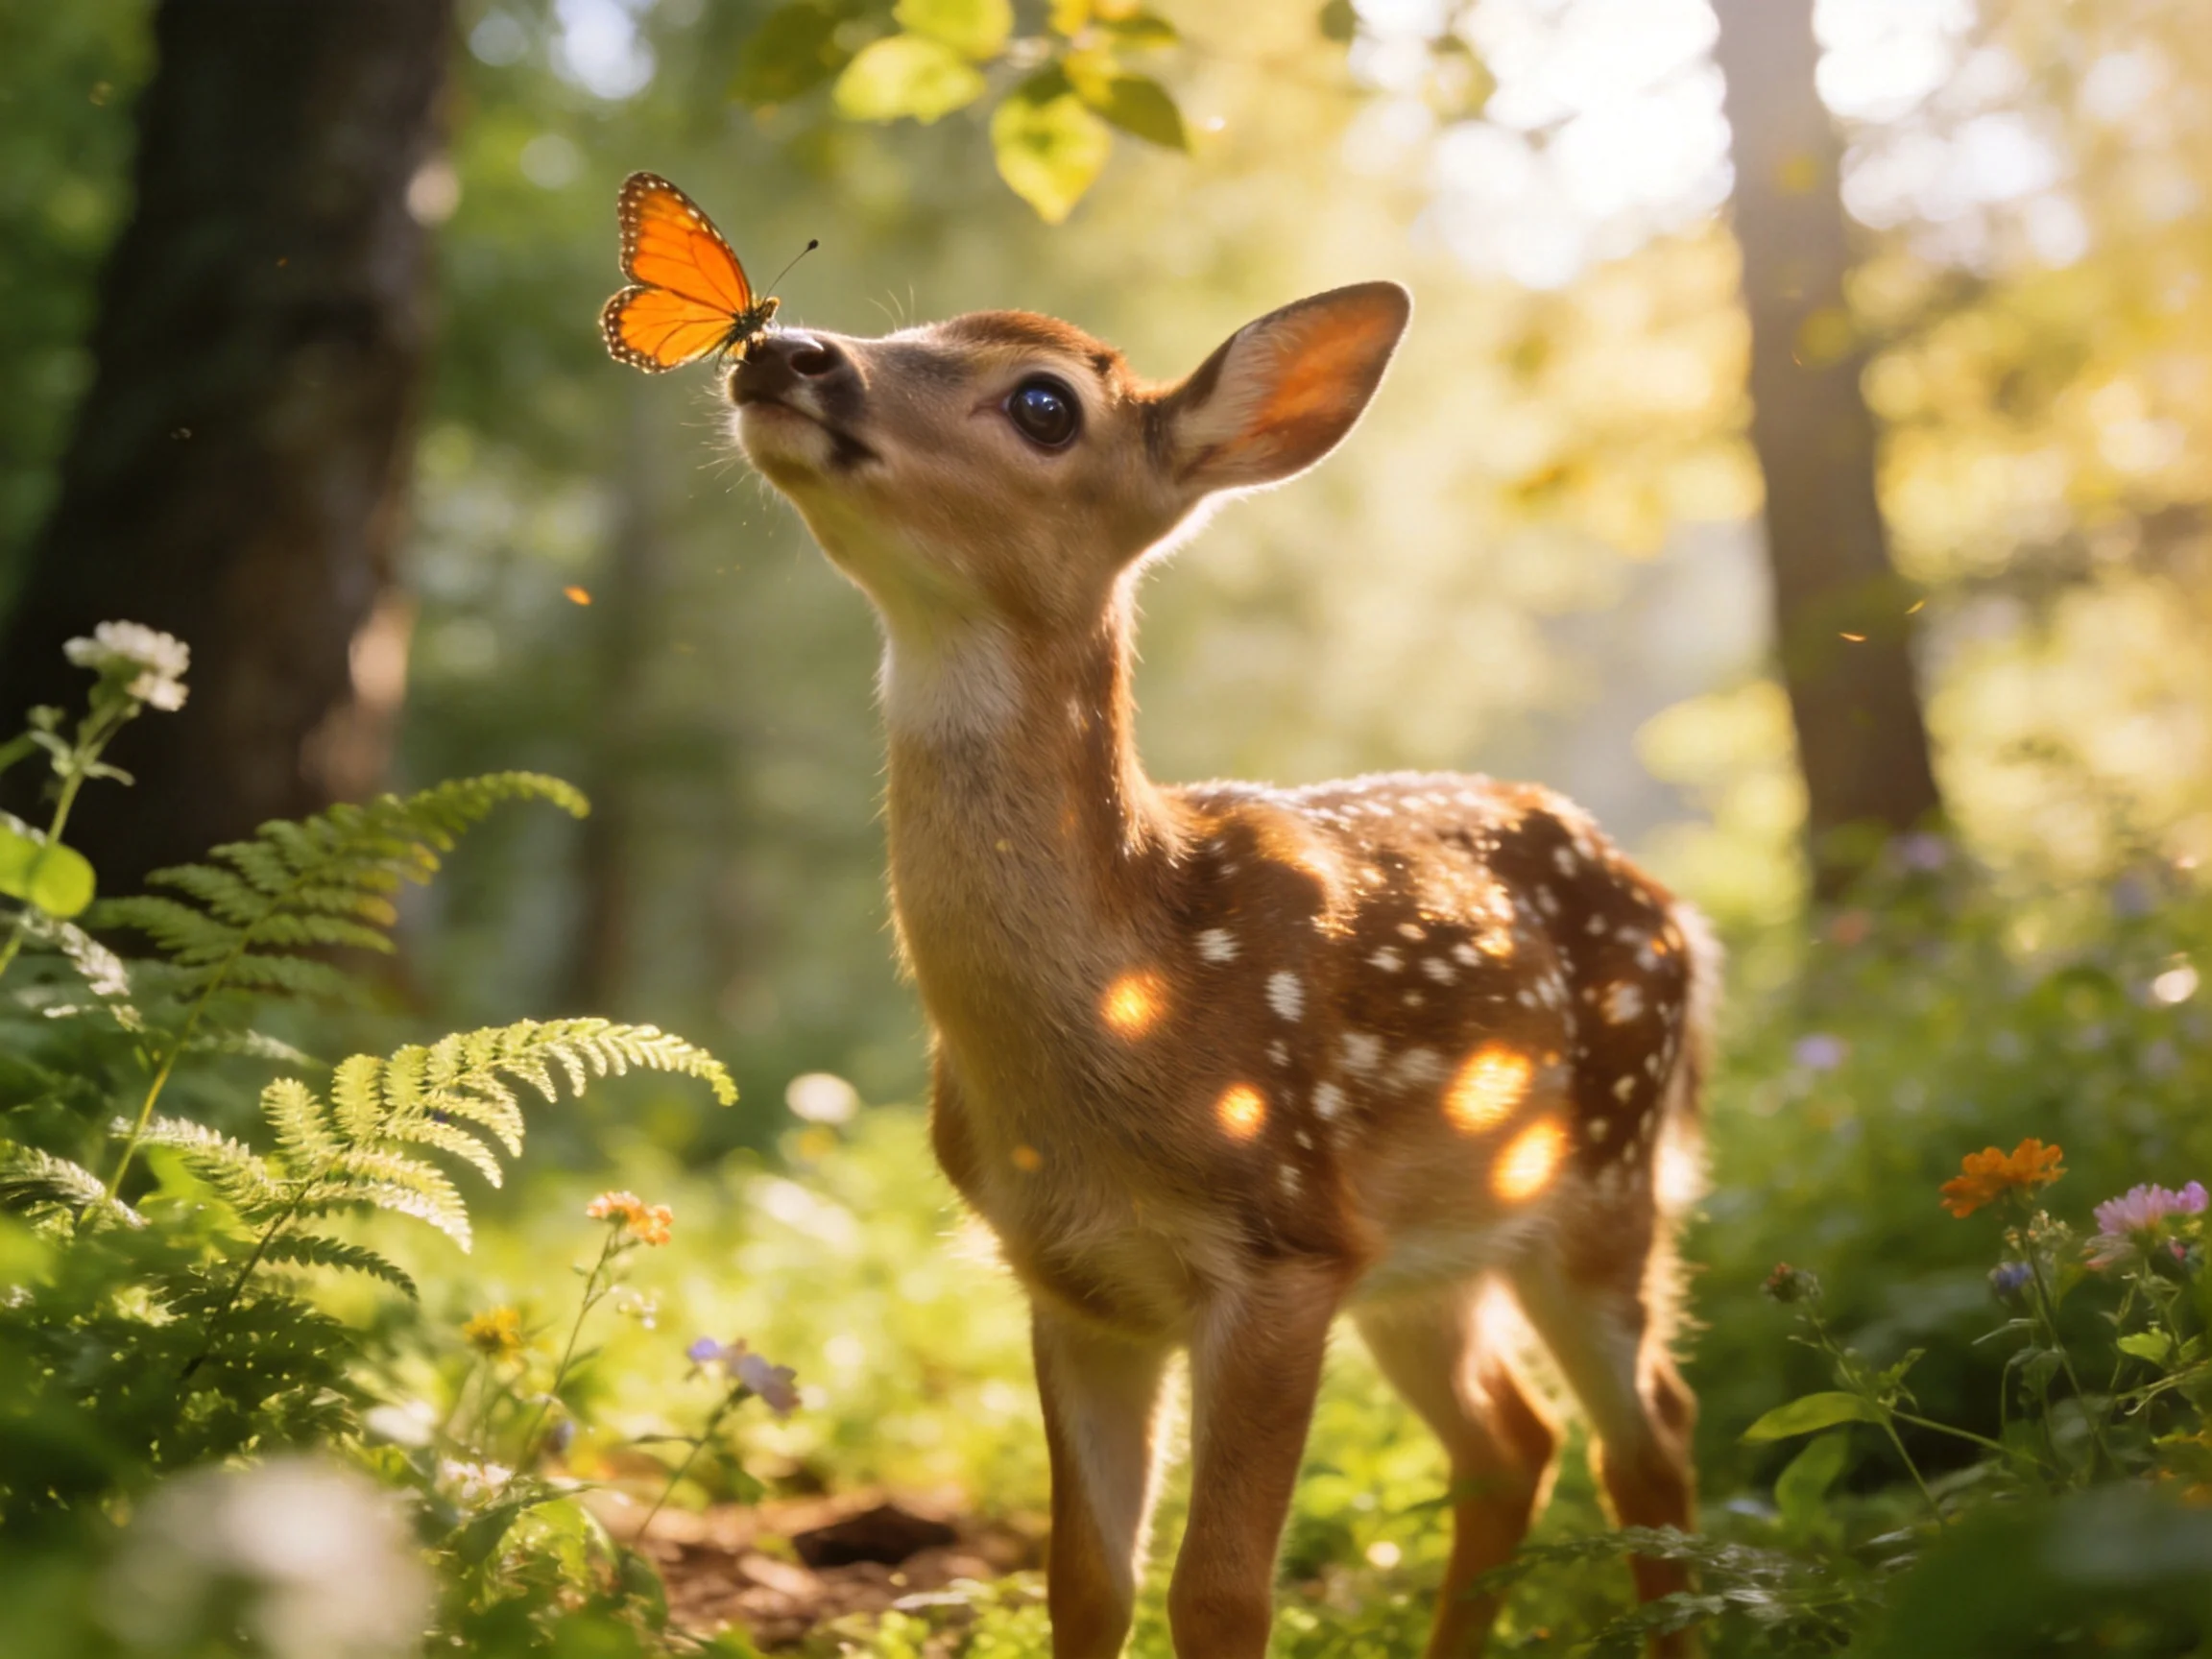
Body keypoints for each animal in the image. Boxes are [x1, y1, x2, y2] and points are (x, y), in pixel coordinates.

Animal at [727, 281, 1716, 1658]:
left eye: (1045, 402)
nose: (782, 348)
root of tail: (1677, 913)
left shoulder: (1280, 1249)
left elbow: (1220, 1591)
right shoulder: (1073, 1283)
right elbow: (1088, 1581)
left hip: (1607, 1192)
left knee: (1651, 1431)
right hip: (1422, 1260)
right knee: (1513, 1439)